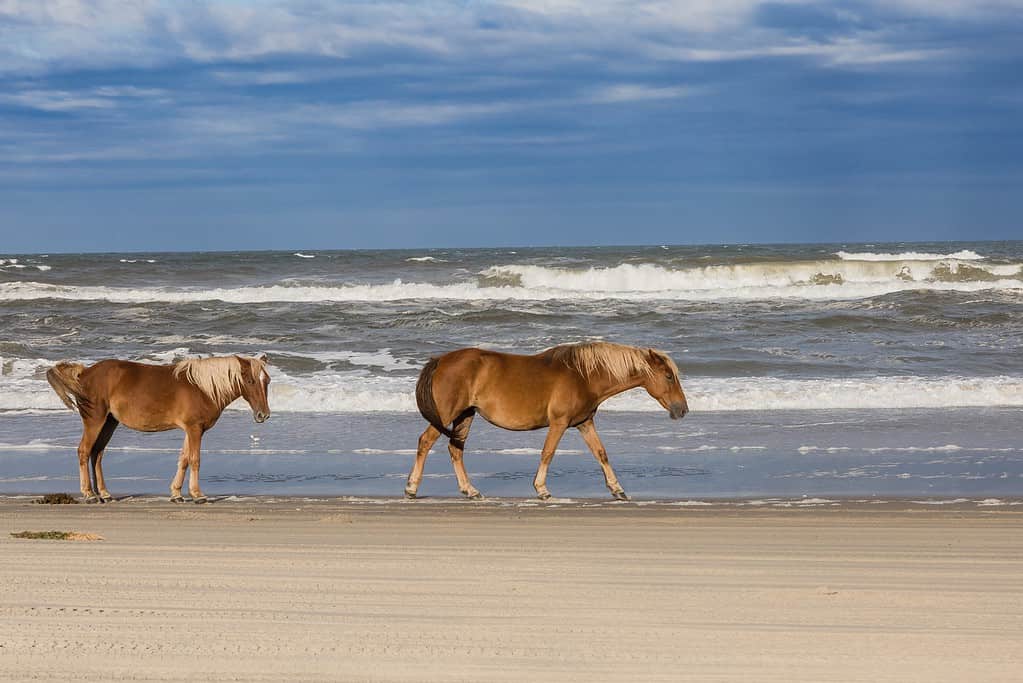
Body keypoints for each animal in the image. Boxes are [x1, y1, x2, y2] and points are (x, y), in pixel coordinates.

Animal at [46, 355, 272, 505]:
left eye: (267, 381)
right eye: (250, 380)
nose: (263, 415)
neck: (203, 388)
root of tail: (84, 373)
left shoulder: (191, 430)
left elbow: (184, 459)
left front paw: (177, 494)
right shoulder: (194, 429)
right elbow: (195, 460)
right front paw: (197, 495)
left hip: (109, 422)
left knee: (97, 454)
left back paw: (104, 493)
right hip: (95, 420)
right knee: (84, 451)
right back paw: (89, 494)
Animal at [405, 343, 687, 498]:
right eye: (668, 376)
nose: (682, 409)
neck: (585, 376)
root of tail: (440, 360)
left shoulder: (584, 423)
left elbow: (601, 453)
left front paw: (617, 489)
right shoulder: (559, 423)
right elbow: (548, 453)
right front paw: (541, 489)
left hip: (466, 415)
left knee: (456, 448)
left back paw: (470, 490)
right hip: (448, 414)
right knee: (425, 442)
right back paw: (411, 488)